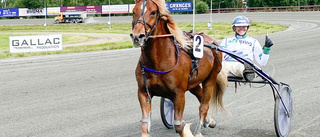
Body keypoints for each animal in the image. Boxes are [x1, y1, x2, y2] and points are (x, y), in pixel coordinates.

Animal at [130, 0, 228, 136]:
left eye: (153, 12)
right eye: (133, 11)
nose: (136, 36)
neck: (158, 62)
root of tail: (212, 41)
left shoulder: (179, 94)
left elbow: (179, 126)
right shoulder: (143, 92)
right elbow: (145, 124)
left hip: (211, 78)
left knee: (204, 106)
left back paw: (198, 130)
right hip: (193, 82)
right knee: (200, 95)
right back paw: (210, 121)